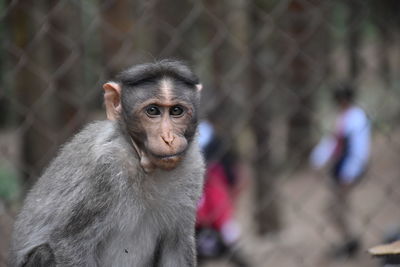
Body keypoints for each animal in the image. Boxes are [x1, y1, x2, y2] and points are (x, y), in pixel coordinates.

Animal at [10, 59, 205, 266]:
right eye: (153, 110)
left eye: (176, 111)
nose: (168, 138)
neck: (142, 163)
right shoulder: (105, 172)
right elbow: (69, 243)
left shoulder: (194, 166)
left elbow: (177, 246)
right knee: (45, 252)